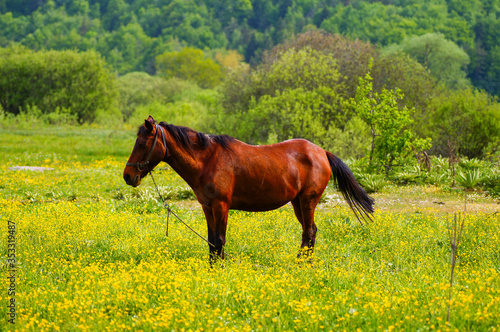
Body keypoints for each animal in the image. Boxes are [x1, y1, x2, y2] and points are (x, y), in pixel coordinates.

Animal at [123, 116, 374, 260]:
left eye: (143, 143)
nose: (128, 176)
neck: (208, 160)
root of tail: (321, 152)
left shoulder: (221, 206)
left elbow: (219, 241)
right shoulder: (207, 207)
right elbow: (211, 242)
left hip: (307, 201)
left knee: (309, 233)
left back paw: (304, 265)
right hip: (297, 203)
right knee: (309, 232)